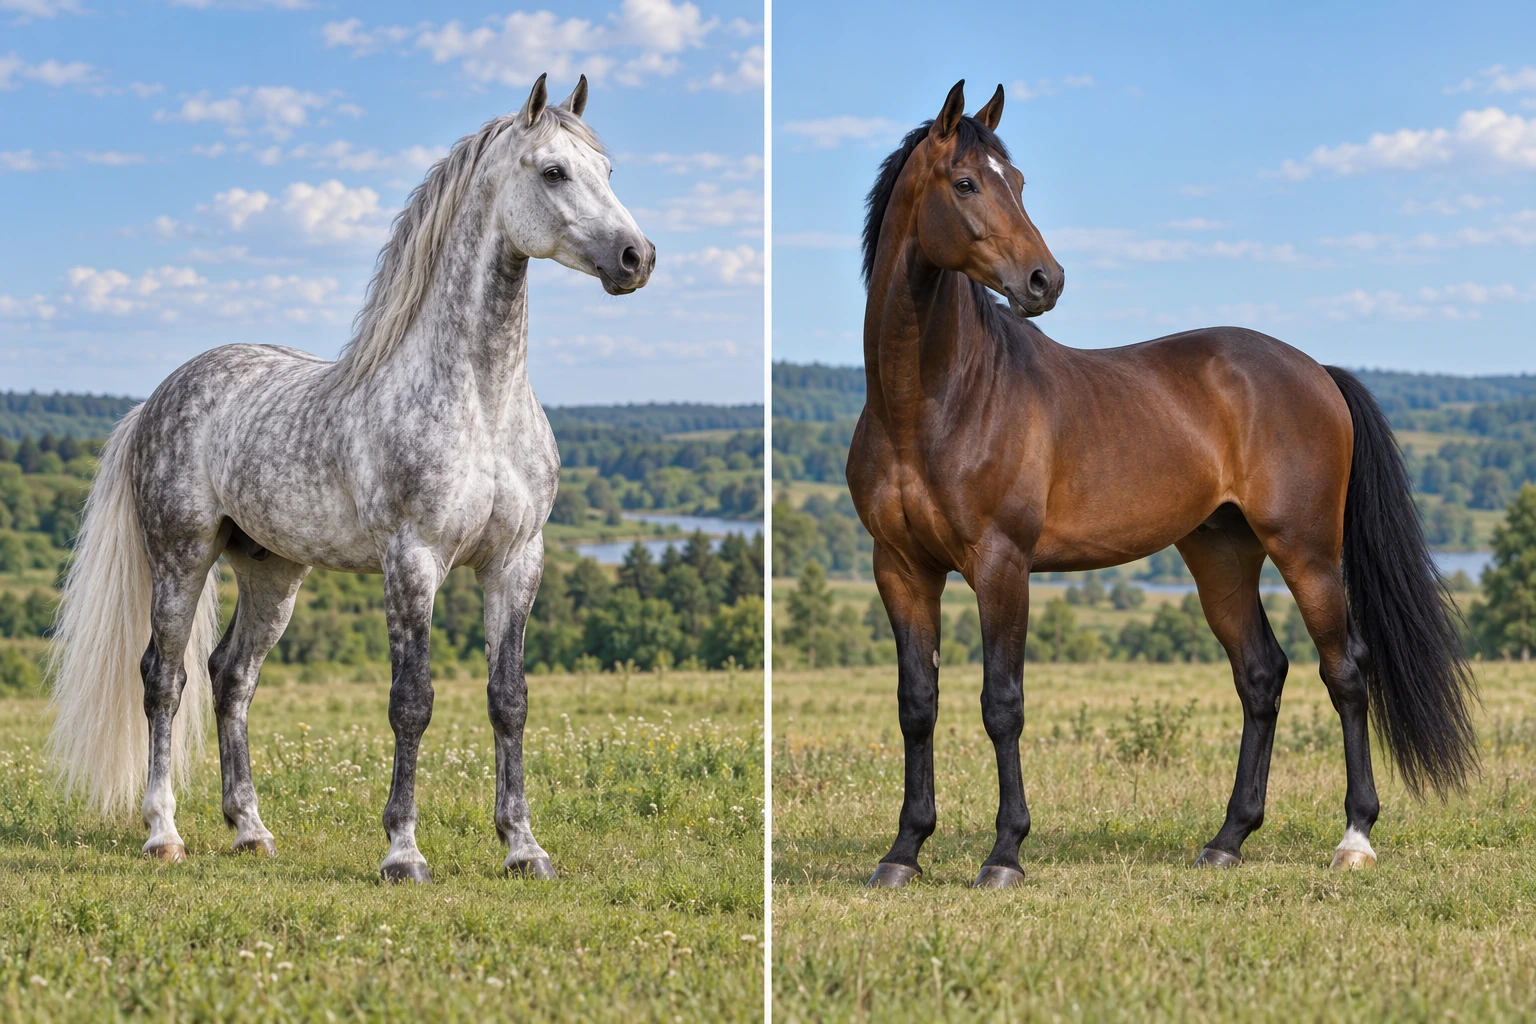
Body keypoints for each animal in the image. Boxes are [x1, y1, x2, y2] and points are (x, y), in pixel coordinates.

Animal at [46, 73, 655, 883]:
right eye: (553, 171)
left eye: (607, 172)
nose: (637, 256)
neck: (481, 402)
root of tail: (160, 396)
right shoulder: (413, 560)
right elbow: (412, 700)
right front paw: (403, 851)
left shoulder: (517, 560)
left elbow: (509, 699)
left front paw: (523, 847)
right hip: (181, 556)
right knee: (163, 678)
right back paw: (163, 833)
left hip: (272, 572)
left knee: (231, 677)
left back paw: (250, 830)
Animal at [847, 80, 1476, 889]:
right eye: (964, 183)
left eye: (1016, 181)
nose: (1045, 281)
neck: (934, 401)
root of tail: (1314, 371)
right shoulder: (900, 568)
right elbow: (917, 704)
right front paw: (904, 851)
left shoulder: (1001, 565)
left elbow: (1002, 704)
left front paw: (1005, 854)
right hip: (1221, 554)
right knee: (1261, 674)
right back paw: (1228, 839)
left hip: (1306, 552)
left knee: (1346, 672)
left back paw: (1355, 837)